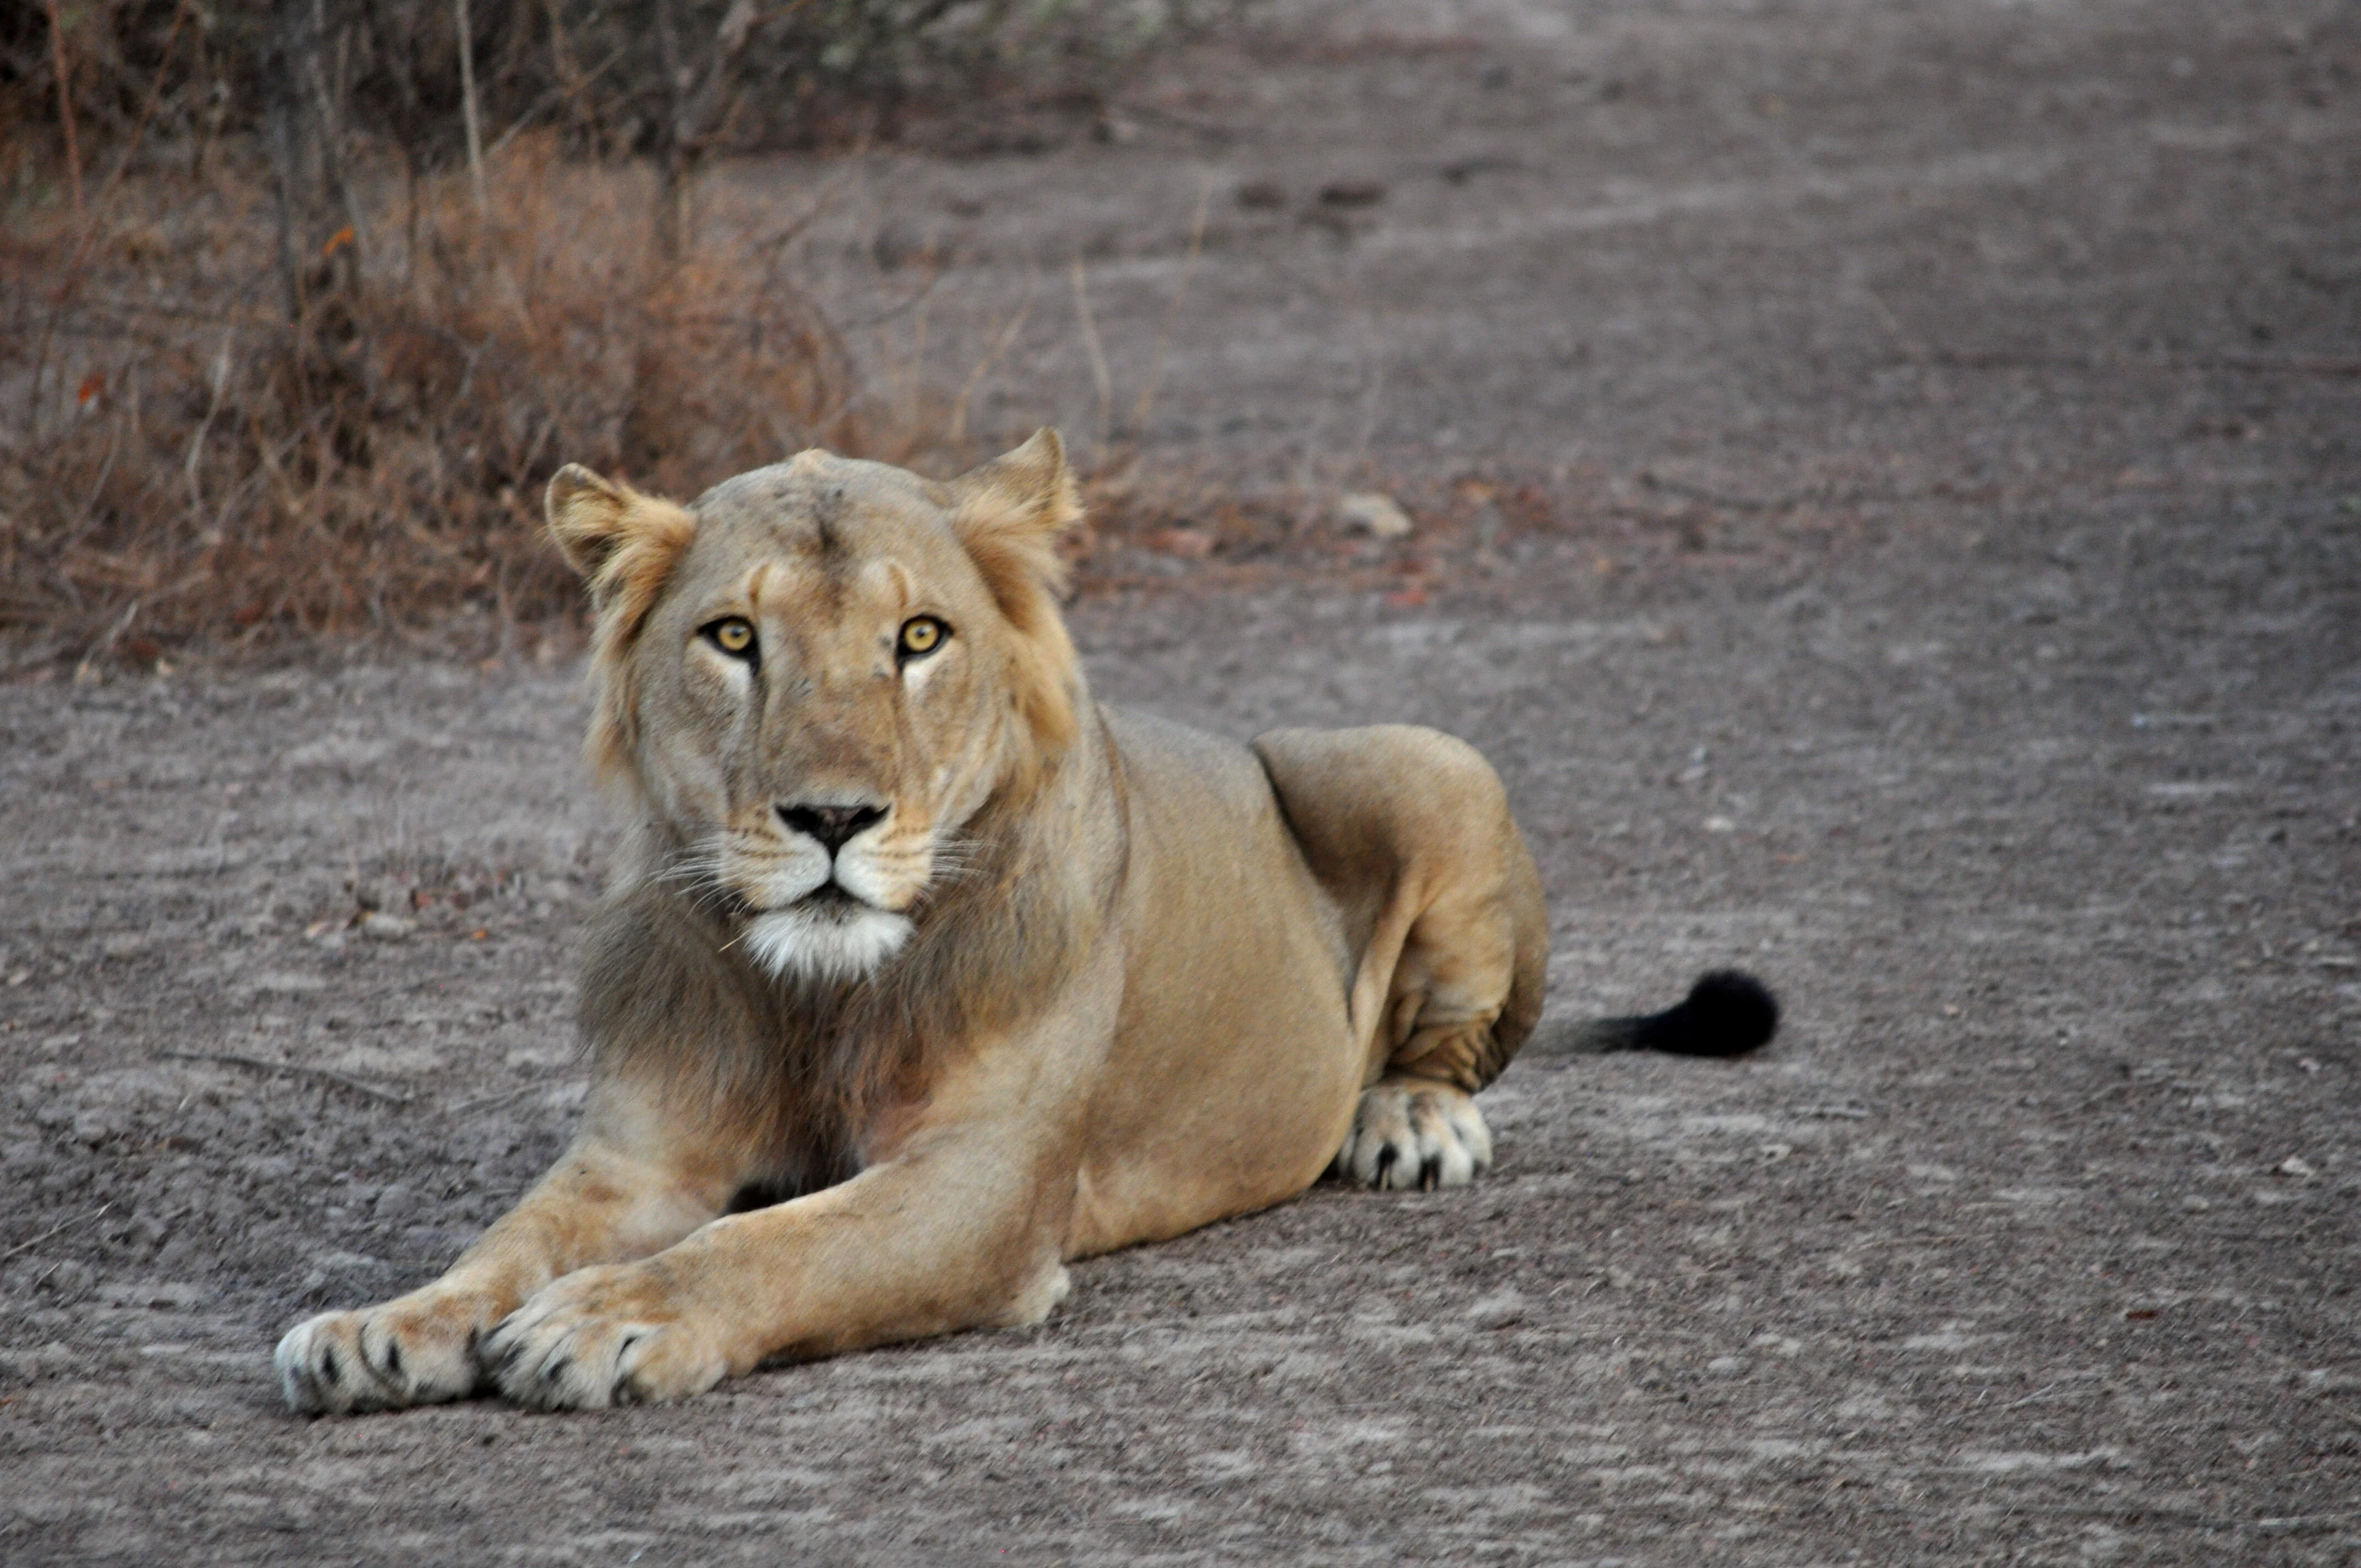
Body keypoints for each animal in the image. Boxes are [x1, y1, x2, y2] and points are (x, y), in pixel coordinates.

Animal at [274, 431, 1776, 1414]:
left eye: (920, 638)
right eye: (734, 639)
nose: (832, 817)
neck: (815, 991)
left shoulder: (987, 1182)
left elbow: (775, 1242)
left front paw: (610, 1316)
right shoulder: (636, 1158)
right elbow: (505, 1240)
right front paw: (380, 1325)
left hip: (1422, 756)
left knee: (1451, 1041)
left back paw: (1409, 1118)